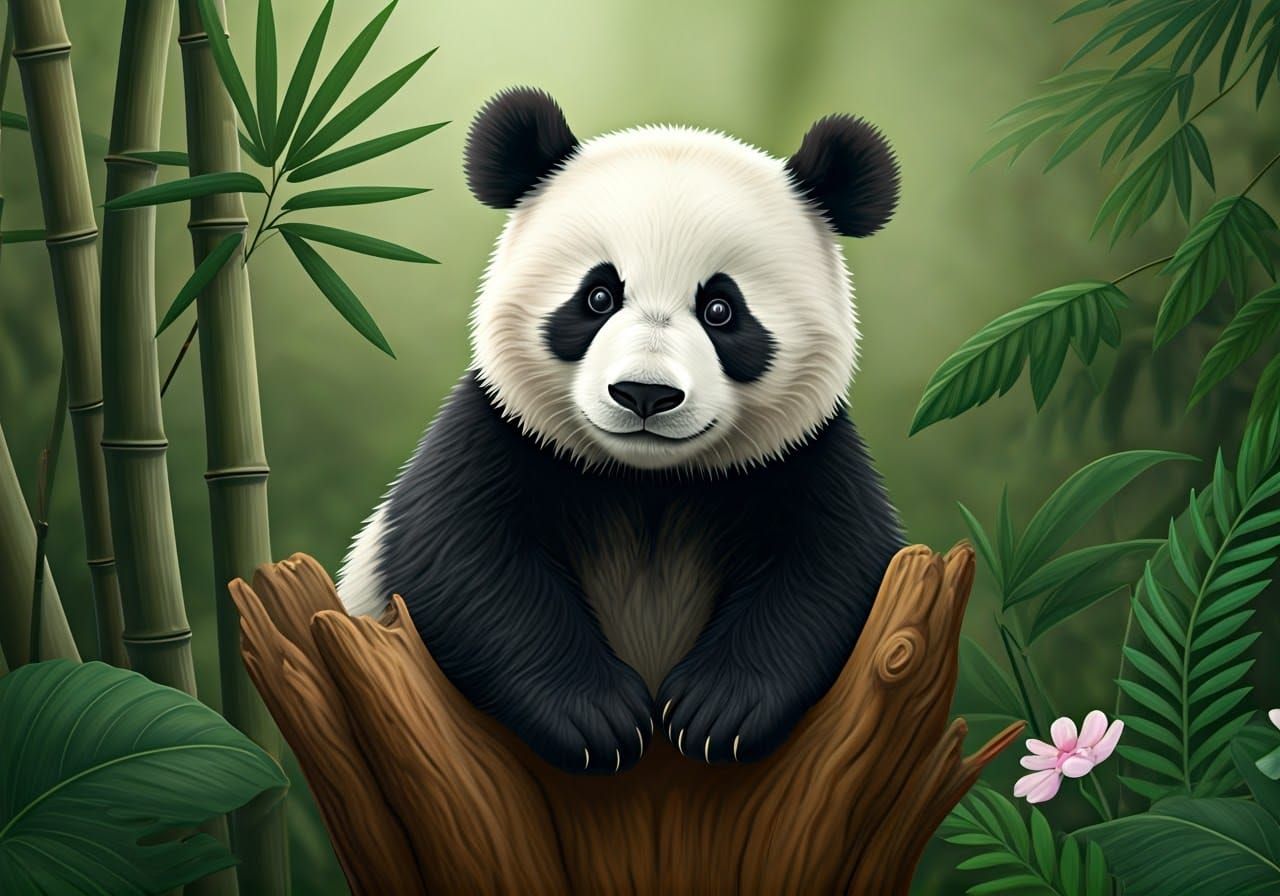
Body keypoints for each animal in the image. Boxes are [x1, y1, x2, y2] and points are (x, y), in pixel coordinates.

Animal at [338, 87, 905, 775]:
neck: (648, 482)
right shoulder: (501, 431)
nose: (645, 394)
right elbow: (462, 559)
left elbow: (832, 568)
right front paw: (596, 720)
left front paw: (716, 713)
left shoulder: (803, 452)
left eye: (722, 310)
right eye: (599, 297)